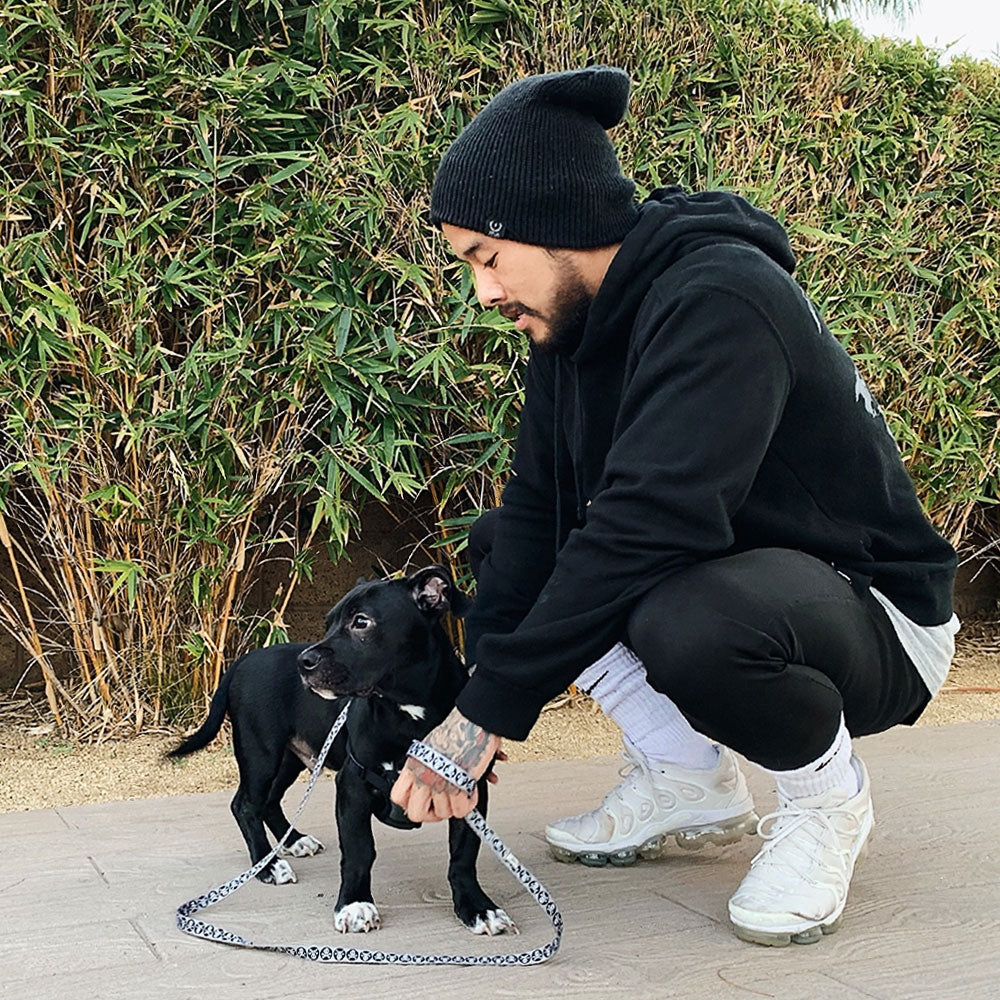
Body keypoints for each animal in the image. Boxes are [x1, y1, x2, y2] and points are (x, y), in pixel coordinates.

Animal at [169, 568, 512, 932]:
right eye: (327, 623)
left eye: (361, 622)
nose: (303, 662)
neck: (408, 713)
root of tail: (241, 662)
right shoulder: (353, 785)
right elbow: (360, 851)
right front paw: (355, 904)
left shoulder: (469, 791)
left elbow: (463, 854)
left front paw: (477, 907)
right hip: (260, 752)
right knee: (246, 805)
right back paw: (267, 865)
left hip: (291, 757)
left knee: (269, 802)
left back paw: (294, 841)